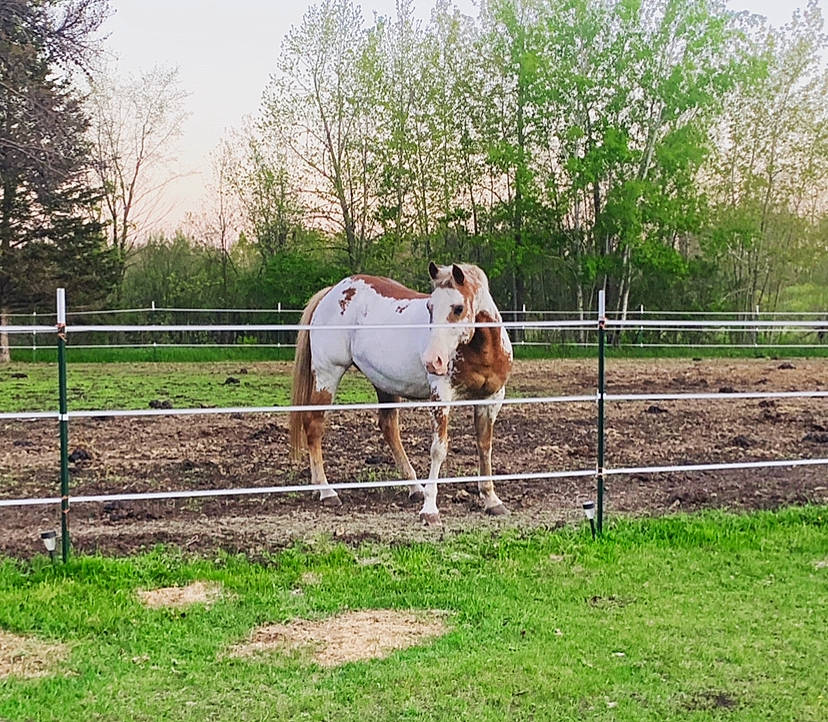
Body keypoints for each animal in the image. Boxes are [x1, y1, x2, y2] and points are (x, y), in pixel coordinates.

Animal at [288, 261, 513, 526]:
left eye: (458, 308)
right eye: (430, 307)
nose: (432, 361)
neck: (483, 350)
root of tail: (331, 293)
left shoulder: (491, 399)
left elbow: (484, 446)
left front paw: (492, 500)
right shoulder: (441, 396)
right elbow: (438, 449)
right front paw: (430, 510)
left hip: (383, 383)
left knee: (388, 427)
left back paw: (414, 488)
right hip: (328, 374)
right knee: (314, 425)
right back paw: (326, 491)